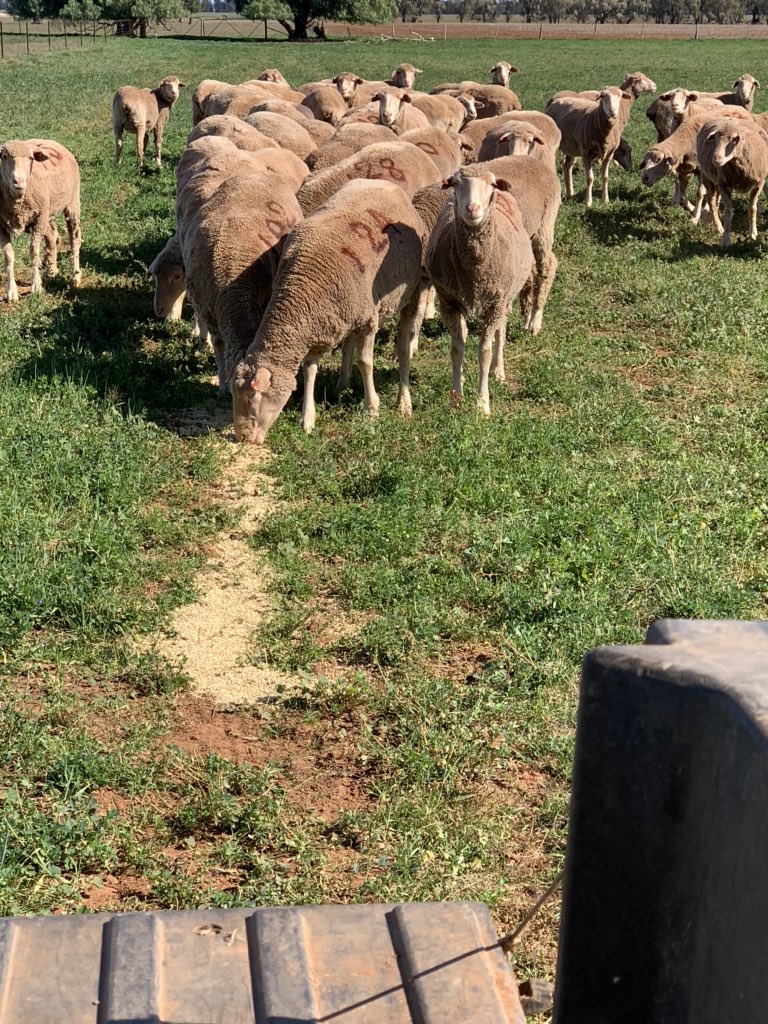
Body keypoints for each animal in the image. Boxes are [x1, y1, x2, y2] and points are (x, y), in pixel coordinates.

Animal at [0, 139, 81, 303]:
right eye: (4, 157)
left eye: (30, 158)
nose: (18, 181)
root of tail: (49, 140)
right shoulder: (0, 225)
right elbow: (8, 257)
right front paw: (11, 292)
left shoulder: (38, 222)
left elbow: (34, 252)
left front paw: (36, 286)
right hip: (47, 213)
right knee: (52, 237)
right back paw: (52, 270)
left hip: (72, 201)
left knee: (74, 239)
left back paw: (75, 276)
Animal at [232, 178, 426, 442]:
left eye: (252, 395)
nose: (241, 438)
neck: (300, 290)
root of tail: (382, 182)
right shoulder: (316, 325)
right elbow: (309, 369)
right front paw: (308, 418)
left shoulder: (368, 319)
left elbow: (366, 363)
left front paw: (371, 409)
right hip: (347, 312)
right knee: (348, 344)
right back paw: (343, 384)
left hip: (409, 293)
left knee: (404, 346)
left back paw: (403, 402)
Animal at [423, 166, 533, 415]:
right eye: (456, 183)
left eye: (490, 184)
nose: (472, 209)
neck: (475, 275)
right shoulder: (450, 303)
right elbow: (456, 349)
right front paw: (456, 399)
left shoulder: (496, 304)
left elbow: (484, 351)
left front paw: (483, 404)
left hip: (505, 298)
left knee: (500, 332)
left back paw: (498, 370)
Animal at [696, 117, 768, 248]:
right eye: (716, 140)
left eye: (734, 140)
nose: (716, 159)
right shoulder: (724, 185)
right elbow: (728, 212)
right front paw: (725, 239)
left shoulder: (759, 183)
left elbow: (752, 208)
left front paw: (753, 234)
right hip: (708, 177)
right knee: (712, 203)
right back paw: (719, 228)